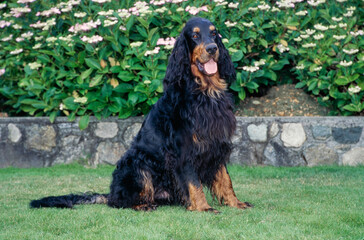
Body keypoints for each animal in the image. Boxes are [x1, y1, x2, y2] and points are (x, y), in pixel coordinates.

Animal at [30, 17, 253, 213]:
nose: (212, 49)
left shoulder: (217, 144)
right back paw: (142, 205)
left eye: (214, 34)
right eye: (195, 36)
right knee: (119, 202)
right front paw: (203, 207)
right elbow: (193, 183)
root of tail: (111, 192)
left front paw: (235, 203)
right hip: (137, 164)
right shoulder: (184, 150)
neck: (204, 92)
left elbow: (226, 180)